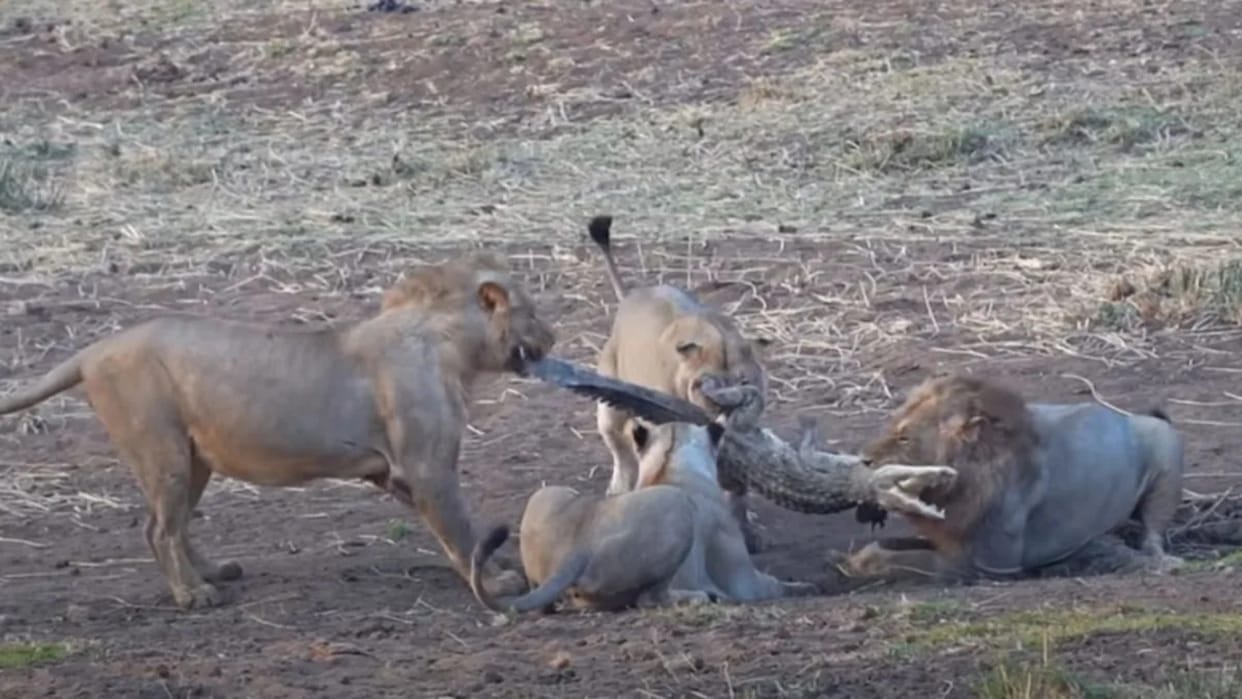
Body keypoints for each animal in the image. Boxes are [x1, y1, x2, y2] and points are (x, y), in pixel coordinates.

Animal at [0, 252, 556, 609]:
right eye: (531, 311)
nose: (553, 335)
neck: (452, 346)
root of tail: (92, 351)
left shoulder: (397, 472)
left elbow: (460, 530)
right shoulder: (427, 467)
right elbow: (460, 529)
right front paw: (497, 583)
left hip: (193, 458)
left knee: (177, 524)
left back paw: (213, 573)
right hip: (162, 451)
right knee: (159, 528)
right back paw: (193, 595)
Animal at [469, 419, 816, 614]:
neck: (672, 461)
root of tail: (577, 550)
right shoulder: (743, 580)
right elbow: (776, 586)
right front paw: (809, 587)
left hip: (547, 493)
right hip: (677, 510)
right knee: (650, 599)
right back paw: (700, 597)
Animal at [588, 215, 770, 552]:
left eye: (744, 381)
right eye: (707, 385)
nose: (729, 411)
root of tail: (632, 295)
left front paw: (746, 533)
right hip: (610, 409)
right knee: (619, 447)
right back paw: (619, 487)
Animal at [840, 374, 1185, 582]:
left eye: (904, 438)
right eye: (892, 424)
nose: (864, 460)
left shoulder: (988, 565)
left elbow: (907, 560)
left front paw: (860, 563)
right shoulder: (949, 534)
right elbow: (892, 544)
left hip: (1165, 459)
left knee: (1153, 532)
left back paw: (1158, 559)